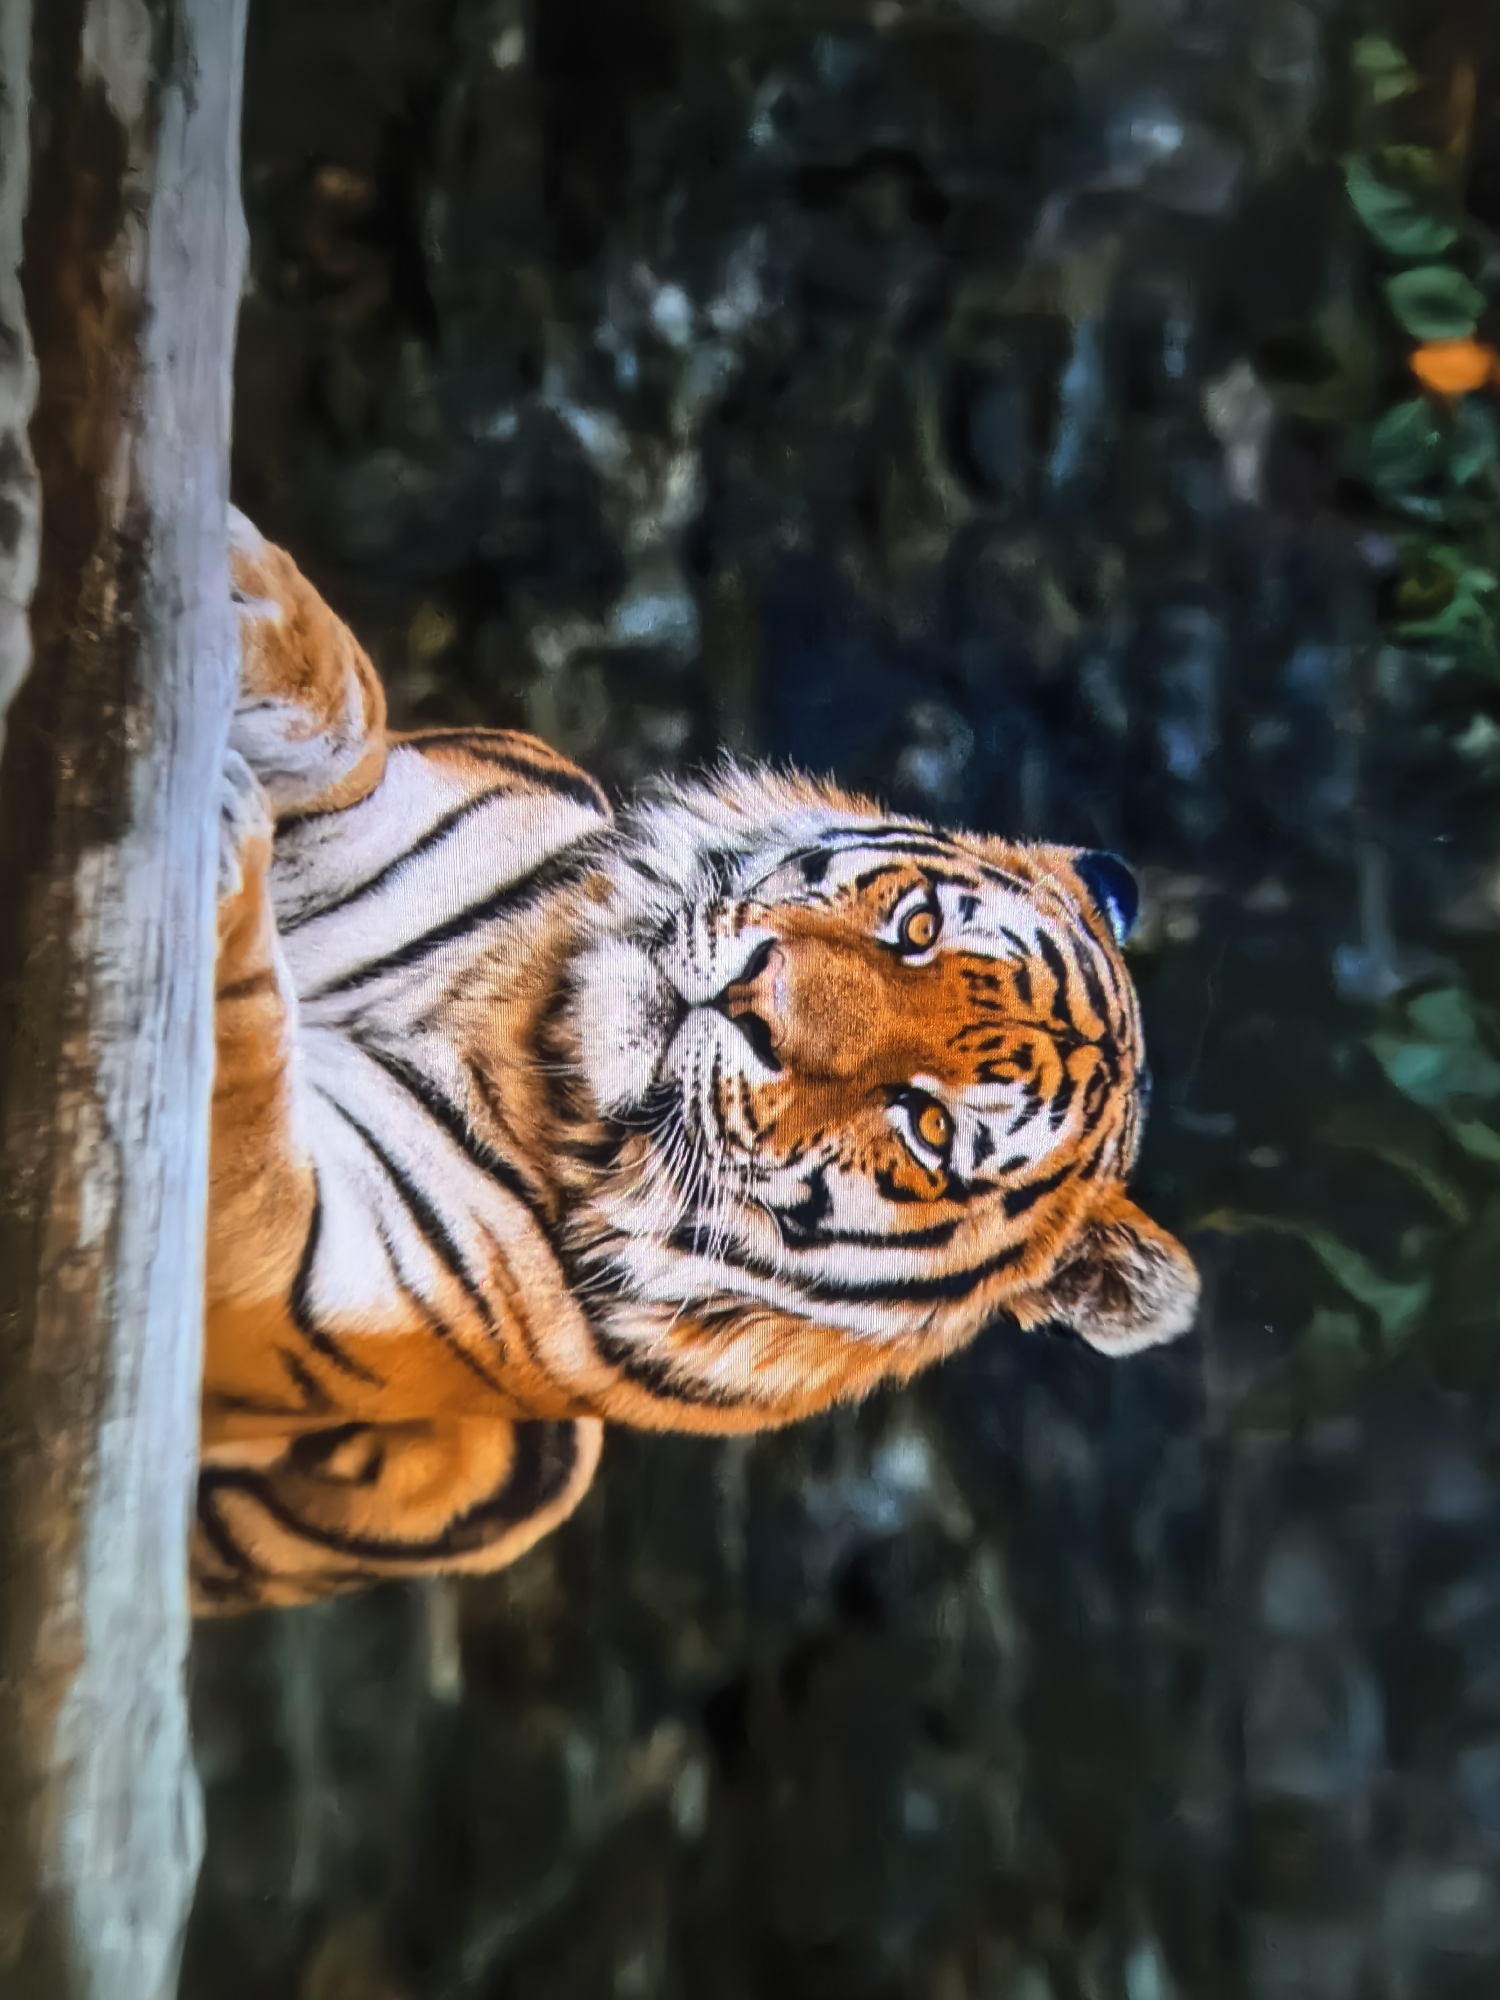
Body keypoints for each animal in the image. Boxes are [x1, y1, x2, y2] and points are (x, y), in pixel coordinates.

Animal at [197, 510, 1199, 1612]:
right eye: (918, 927)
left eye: (929, 1123)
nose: (755, 1001)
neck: (514, 1025)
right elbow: (355, 704)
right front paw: (243, 590)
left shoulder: (276, 1273)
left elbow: (234, 1099)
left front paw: (224, 846)